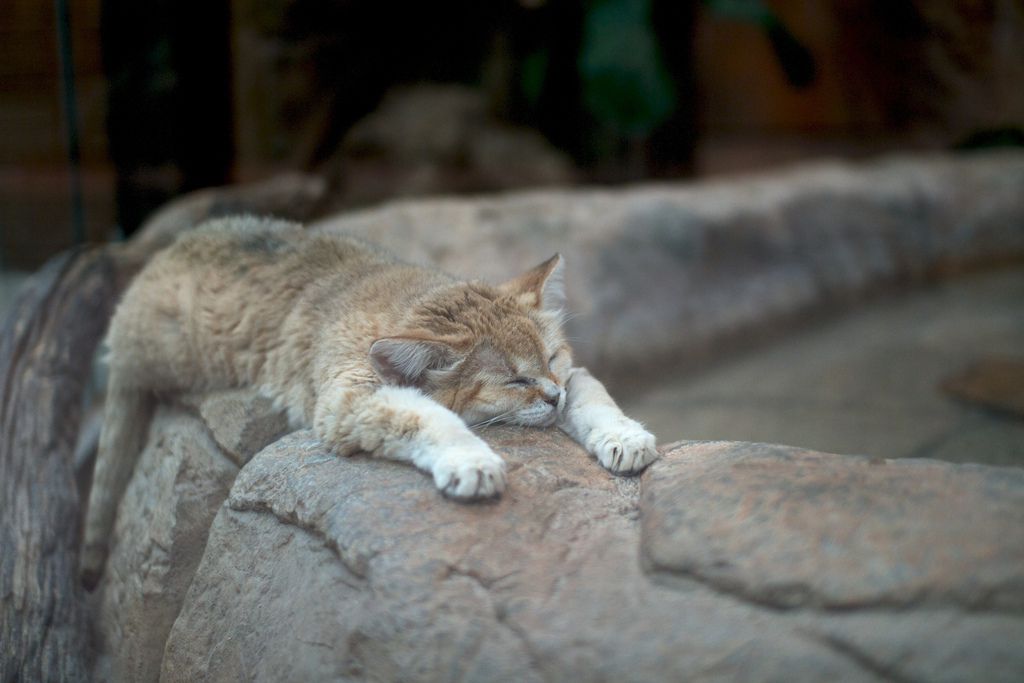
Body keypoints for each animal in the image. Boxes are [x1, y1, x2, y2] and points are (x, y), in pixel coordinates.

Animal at [77, 218, 655, 589]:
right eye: (515, 380)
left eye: (552, 357)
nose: (552, 396)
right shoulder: (346, 401)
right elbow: (432, 417)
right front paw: (470, 460)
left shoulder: (575, 377)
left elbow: (596, 401)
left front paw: (624, 436)